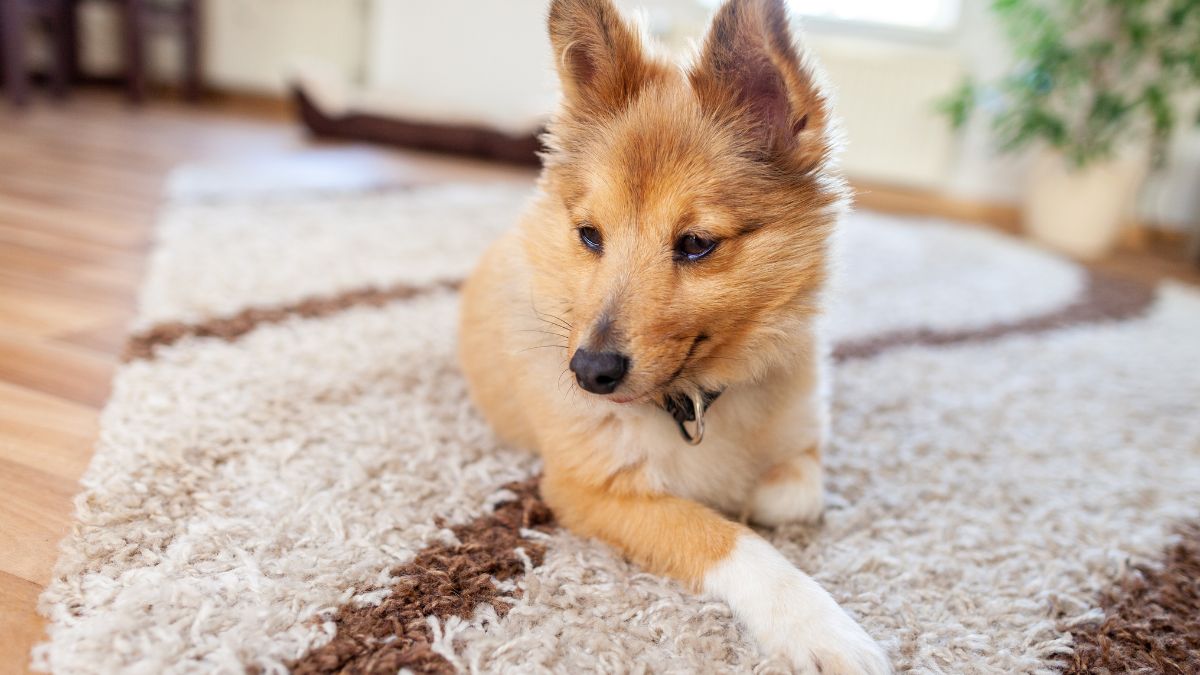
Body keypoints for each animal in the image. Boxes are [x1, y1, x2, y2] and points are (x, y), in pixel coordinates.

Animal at [458, 0, 892, 667]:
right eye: (589, 236)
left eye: (695, 244)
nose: (589, 373)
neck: (692, 400)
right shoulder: (589, 490)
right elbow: (722, 536)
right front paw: (817, 626)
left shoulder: (806, 435)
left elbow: (794, 495)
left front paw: (753, 497)